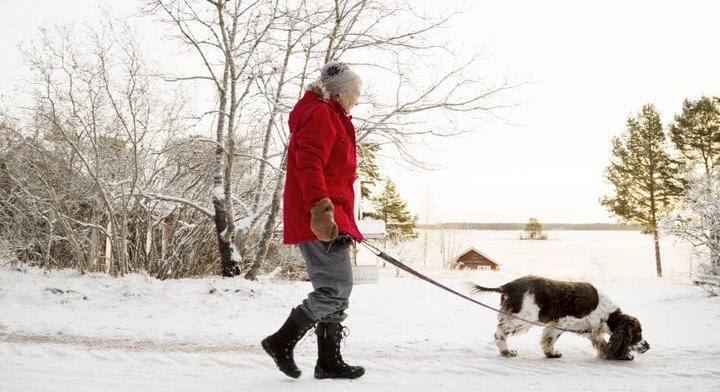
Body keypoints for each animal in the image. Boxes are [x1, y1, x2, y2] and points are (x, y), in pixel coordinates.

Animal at [470, 274, 648, 360]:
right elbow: (551, 339)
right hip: (522, 319)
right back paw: (506, 351)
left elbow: (602, 343)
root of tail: (508, 286)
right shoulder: (563, 322)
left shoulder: (588, 329)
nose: (648, 346)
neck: (608, 315)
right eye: (638, 333)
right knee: (499, 332)